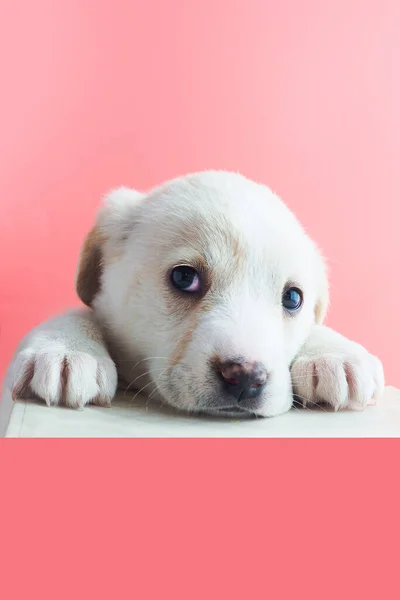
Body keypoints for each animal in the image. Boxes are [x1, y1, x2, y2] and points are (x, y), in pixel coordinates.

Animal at [7, 171, 384, 418]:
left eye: (292, 298)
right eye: (184, 277)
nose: (246, 377)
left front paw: (335, 353)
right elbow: (81, 312)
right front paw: (65, 349)